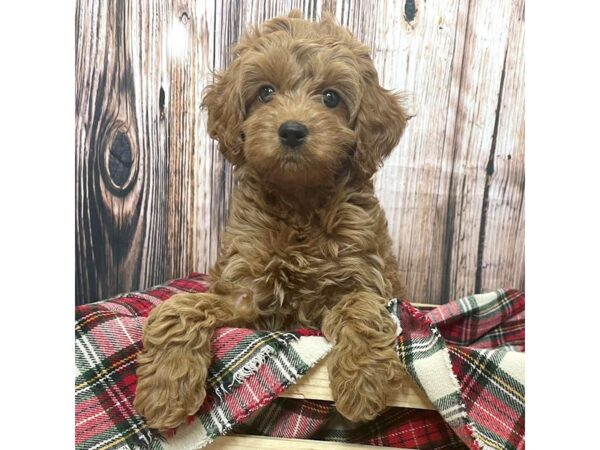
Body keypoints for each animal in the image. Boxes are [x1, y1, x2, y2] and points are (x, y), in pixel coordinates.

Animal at [135, 12, 408, 430]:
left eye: (331, 98)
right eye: (265, 92)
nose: (292, 130)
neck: (299, 200)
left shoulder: (364, 275)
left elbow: (360, 308)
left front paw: (365, 382)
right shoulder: (245, 294)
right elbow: (182, 307)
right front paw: (165, 390)